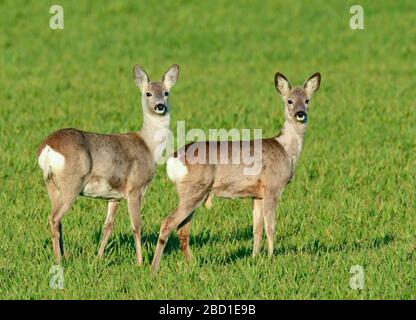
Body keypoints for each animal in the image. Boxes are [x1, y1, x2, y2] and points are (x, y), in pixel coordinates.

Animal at [39, 63, 180, 264]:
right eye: (148, 93)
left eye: (167, 92)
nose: (160, 106)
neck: (148, 146)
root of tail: (48, 147)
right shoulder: (135, 188)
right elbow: (137, 226)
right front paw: (140, 262)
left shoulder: (114, 196)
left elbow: (108, 226)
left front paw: (98, 257)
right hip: (72, 183)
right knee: (54, 218)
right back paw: (59, 261)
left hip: (51, 184)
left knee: (58, 220)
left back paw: (64, 255)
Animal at [150, 70, 322, 272]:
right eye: (290, 101)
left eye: (307, 100)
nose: (300, 113)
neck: (286, 150)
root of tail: (173, 159)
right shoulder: (272, 187)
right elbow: (270, 227)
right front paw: (271, 258)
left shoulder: (257, 194)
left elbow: (257, 228)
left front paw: (255, 258)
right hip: (194, 190)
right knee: (168, 223)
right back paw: (153, 269)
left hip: (191, 192)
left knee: (182, 230)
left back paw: (193, 264)